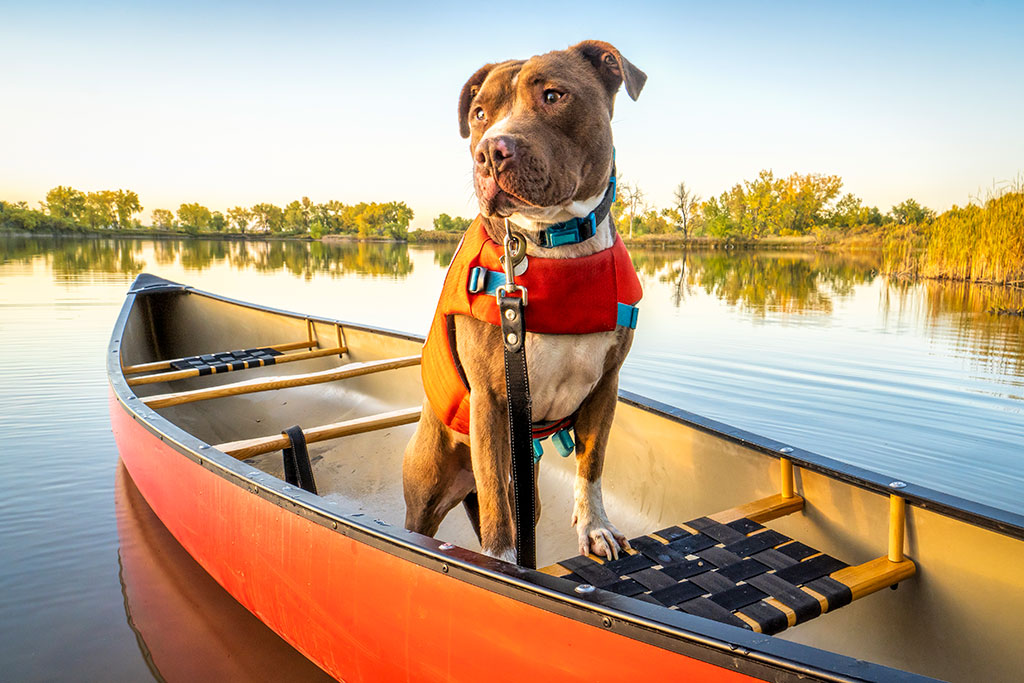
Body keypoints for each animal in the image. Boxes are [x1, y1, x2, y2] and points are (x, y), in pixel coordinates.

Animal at [403, 40, 643, 565]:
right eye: (478, 114)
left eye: (553, 95)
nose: (489, 151)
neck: (554, 241)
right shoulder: (492, 400)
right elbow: (496, 505)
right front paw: (501, 566)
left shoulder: (606, 386)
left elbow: (592, 465)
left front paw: (595, 527)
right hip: (428, 487)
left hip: (527, 489)